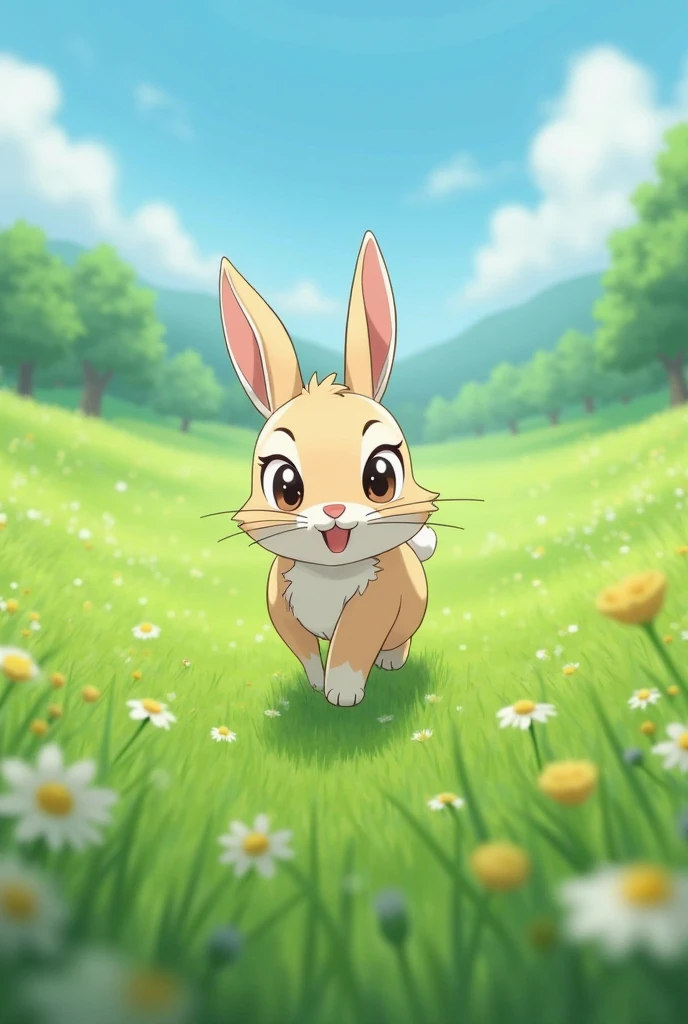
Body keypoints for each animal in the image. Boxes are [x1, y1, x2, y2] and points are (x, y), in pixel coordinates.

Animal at [218, 230, 438, 707]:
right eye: (285, 486)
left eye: (381, 477)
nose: (335, 512)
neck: (330, 573)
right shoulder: (281, 609)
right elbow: (305, 652)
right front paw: (317, 686)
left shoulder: (374, 608)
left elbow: (350, 647)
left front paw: (342, 695)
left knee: (399, 640)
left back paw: (390, 662)